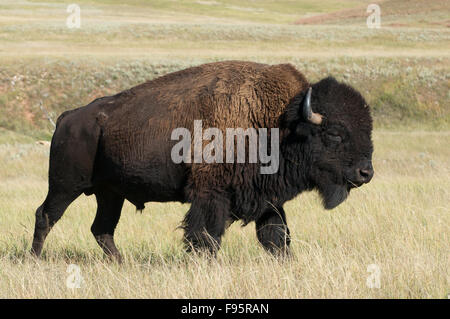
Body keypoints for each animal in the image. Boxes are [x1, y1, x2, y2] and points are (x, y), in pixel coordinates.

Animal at [31, 60, 372, 262]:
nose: (365, 172)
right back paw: (33, 259)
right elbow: (205, 236)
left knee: (102, 229)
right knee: (45, 215)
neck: (277, 122)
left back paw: (121, 263)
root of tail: (69, 117)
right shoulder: (210, 195)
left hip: (110, 194)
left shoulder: (267, 200)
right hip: (66, 185)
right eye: (334, 133)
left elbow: (276, 236)